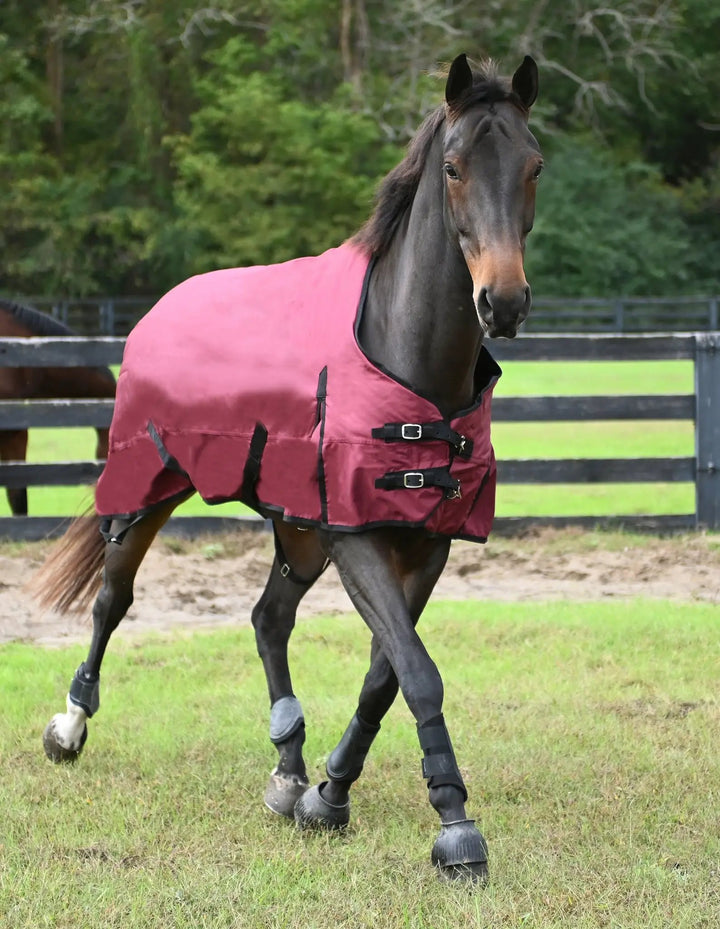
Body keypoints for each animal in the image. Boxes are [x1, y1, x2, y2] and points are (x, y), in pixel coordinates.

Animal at [33, 54, 542, 884]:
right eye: (455, 166)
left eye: (533, 165)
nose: (502, 300)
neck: (409, 360)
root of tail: (156, 310)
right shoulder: (356, 536)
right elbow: (417, 670)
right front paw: (456, 825)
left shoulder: (423, 544)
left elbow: (384, 676)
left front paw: (327, 794)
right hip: (149, 491)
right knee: (112, 601)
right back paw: (70, 725)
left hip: (298, 531)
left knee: (269, 618)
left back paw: (288, 763)